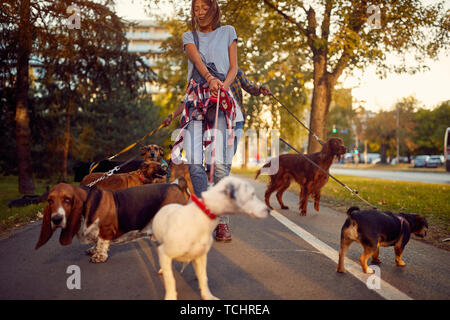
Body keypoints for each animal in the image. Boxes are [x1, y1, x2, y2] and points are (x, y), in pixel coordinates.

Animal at [34, 181, 186, 262]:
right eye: (50, 200)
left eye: (67, 199)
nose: (56, 219)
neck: (86, 205)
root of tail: (176, 186)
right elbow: (96, 242)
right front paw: (93, 250)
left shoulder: (106, 229)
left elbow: (102, 242)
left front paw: (99, 256)